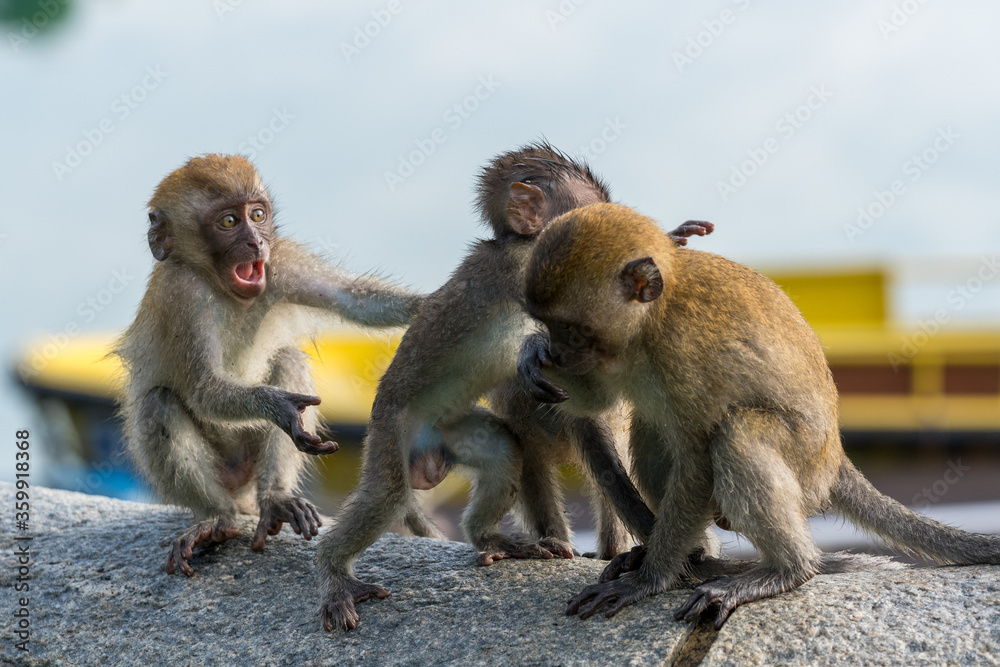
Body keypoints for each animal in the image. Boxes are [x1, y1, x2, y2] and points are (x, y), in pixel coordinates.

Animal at [116, 154, 426, 576]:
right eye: (229, 222)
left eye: (258, 215)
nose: (256, 242)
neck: (222, 287)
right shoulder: (181, 295)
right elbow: (203, 388)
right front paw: (279, 406)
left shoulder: (281, 260)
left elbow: (354, 300)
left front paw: (429, 304)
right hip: (227, 473)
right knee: (158, 403)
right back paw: (217, 516)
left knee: (286, 358)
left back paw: (276, 497)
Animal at [316, 144, 716, 636]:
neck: (521, 242)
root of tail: (425, 452)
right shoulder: (532, 269)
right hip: (391, 428)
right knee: (387, 494)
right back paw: (333, 570)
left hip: (450, 429)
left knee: (503, 451)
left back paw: (492, 537)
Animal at [516, 202, 1000, 628]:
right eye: (551, 325)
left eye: (574, 329)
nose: (558, 350)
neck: (653, 318)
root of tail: (834, 455)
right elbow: (595, 400)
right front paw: (531, 355)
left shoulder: (682, 356)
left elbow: (696, 464)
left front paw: (649, 580)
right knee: (652, 430)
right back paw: (696, 555)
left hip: (805, 463)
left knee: (737, 432)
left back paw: (786, 569)